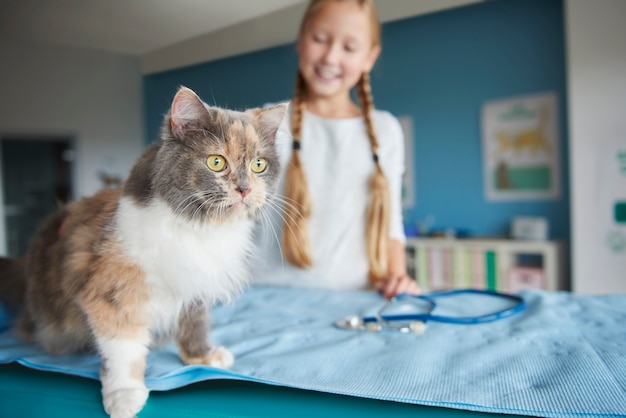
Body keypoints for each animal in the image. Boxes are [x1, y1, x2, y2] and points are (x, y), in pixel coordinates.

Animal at [0, 86, 286, 418]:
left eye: (258, 165)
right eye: (216, 162)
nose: (244, 189)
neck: (198, 228)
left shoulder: (194, 287)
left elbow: (195, 325)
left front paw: (201, 357)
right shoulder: (114, 294)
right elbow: (124, 349)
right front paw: (124, 394)